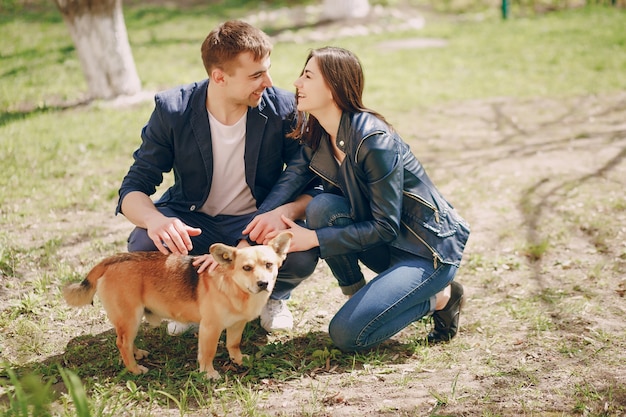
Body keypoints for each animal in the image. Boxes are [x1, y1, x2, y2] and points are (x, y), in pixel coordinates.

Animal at [62, 231, 292, 376]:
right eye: (246, 268)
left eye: (269, 265)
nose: (263, 283)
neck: (235, 288)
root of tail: (113, 259)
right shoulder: (210, 328)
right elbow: (207, 353)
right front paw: (208, 373)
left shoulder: (237, 325)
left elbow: (233, 344)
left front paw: (238, 359)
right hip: (130, 317)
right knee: (122, 343)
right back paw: (135, 369)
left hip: (130, 320)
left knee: (125, 341)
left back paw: (137, 355)